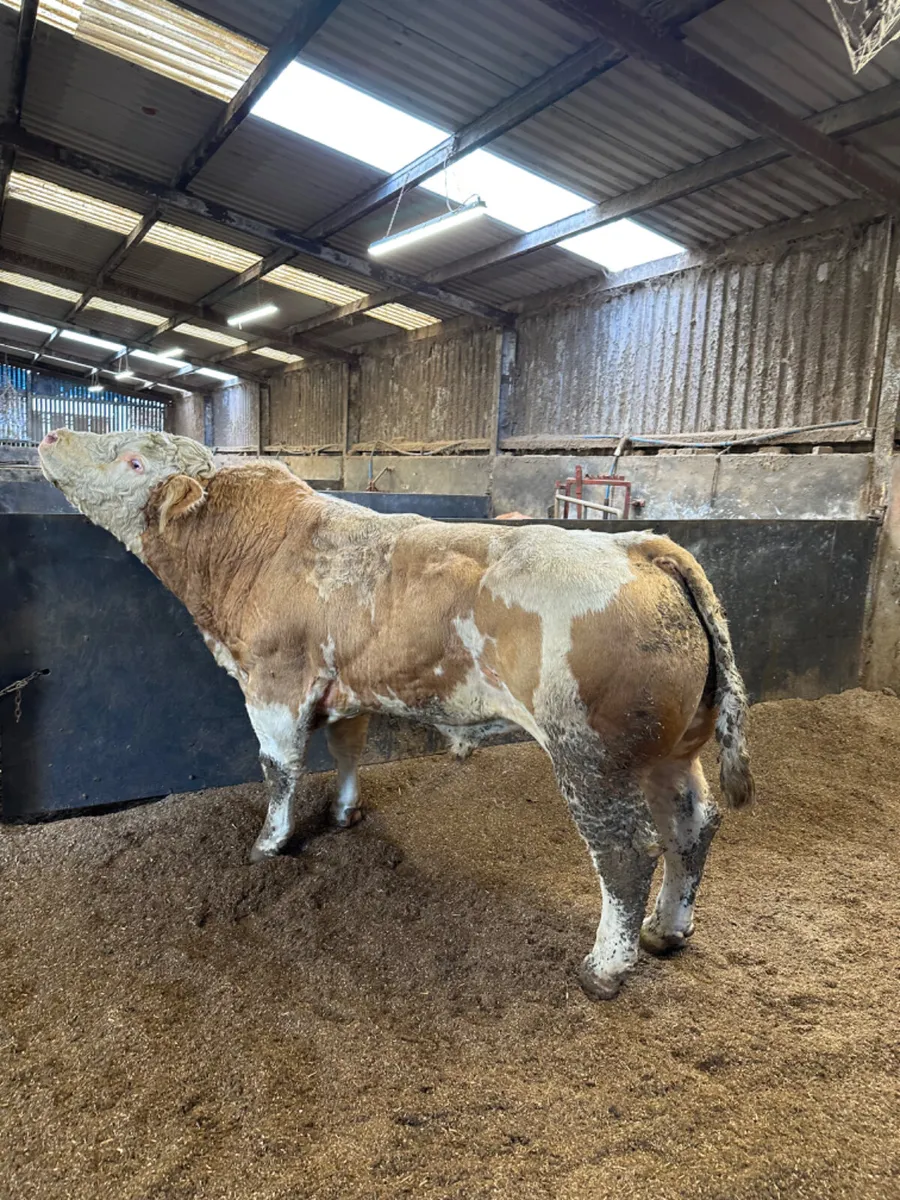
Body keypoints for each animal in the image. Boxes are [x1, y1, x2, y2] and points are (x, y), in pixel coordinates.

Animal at [39, 428, 754, 1001]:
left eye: (132, 459)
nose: (51, 434)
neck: (248, 549)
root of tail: (640, 546)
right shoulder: (344, 688)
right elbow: (347, 750)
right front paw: (344, 813)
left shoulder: (273, 684)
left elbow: (279, 768)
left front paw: (270, 843)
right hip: (669, 752)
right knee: (692, 826)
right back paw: (667, 931)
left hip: (593, 756)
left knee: (626, 853)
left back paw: (605, 968)